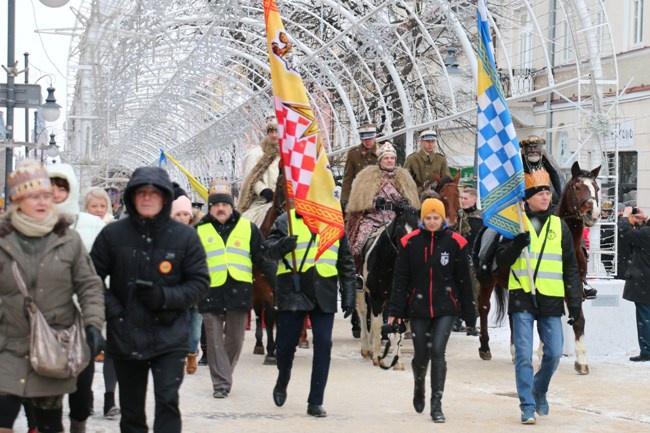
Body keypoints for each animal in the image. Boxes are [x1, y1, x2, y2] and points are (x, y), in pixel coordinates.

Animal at [354, 200, 420, 368]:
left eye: (418, 228)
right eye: (401, 229)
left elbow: (397, 326)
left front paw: (397, 361)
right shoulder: (376, 295)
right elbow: (377, 324)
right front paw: (378, 356)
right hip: (361, 290)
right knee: (364, 312)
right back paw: (367, 348)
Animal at [474, 160, 600, 372]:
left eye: (597, 188)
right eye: (577, 187)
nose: (593, 214)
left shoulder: (572, 288)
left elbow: (577, 319)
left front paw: (581, 361)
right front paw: (543, 356)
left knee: (512, 315)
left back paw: (515, 352)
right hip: (487, 280)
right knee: (484, 306)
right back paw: (485, 348)